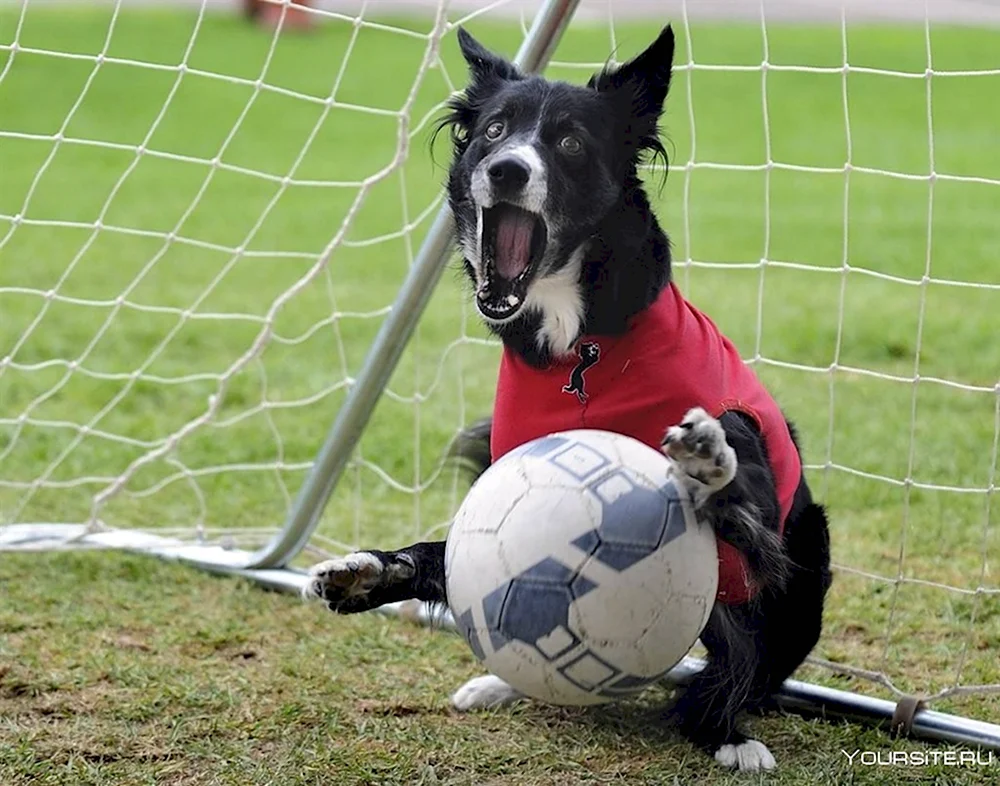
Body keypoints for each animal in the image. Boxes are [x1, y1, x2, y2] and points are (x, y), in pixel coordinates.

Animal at [300, 24, 832, 772]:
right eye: (495, 130)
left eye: (571, 142)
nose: (507, 170)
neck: (577, 351)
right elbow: (443, 557)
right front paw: (367, 573)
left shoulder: (756, 494)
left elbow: (744, 513)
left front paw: (706, 463)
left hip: (807, 561)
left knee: (744, 667)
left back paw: (727, 731)